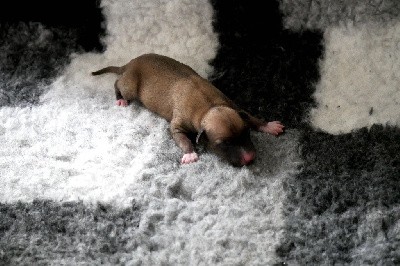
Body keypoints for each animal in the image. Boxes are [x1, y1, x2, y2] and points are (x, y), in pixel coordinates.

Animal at [91, 53, 284, 166]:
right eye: (224, 144)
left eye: (246, 133)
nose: (249, 158)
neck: (208, 107)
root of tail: (129, 63)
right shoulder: (178, 124)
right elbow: (182, 138)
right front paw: (190, 153)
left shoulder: (233, 105)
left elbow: (250, 117)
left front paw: (269, 126)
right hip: (130, 86)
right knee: (118, 83)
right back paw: (120, 99)